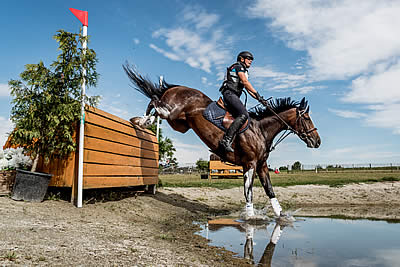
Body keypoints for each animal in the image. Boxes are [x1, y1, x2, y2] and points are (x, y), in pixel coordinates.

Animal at [123, 64, 320, 218]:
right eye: (307, 118)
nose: (317, 141)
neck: (261, 131)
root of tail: (176, 88)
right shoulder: (250, 164)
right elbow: (248, 193)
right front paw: (250, 218)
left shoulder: (262, 165)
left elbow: (270, 190)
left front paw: (281, 215)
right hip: (172, 112)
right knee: (155, 102)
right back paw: (140, 121)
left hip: (179, 123)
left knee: (155, 104)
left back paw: (142, 122)